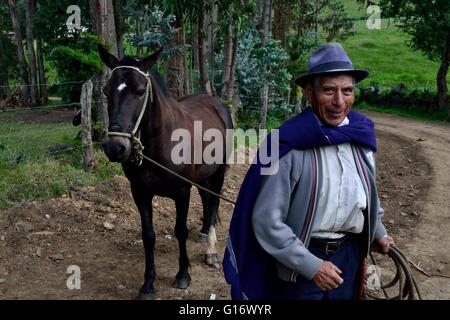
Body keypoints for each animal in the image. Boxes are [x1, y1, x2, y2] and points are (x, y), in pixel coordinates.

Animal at [97, 45, 232, 300]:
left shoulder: (182, 191)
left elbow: (180, 231)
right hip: (203, 175)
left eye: (140, 91)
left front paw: (183, 274)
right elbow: (148, 235)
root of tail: (216, 104)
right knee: (206, 200)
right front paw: (148, 283)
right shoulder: (140, 193)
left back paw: (210, 250)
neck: (160, 143)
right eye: (106, 92)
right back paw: (203, 233)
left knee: (214, 203)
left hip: (218, 172)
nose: (115, 147)